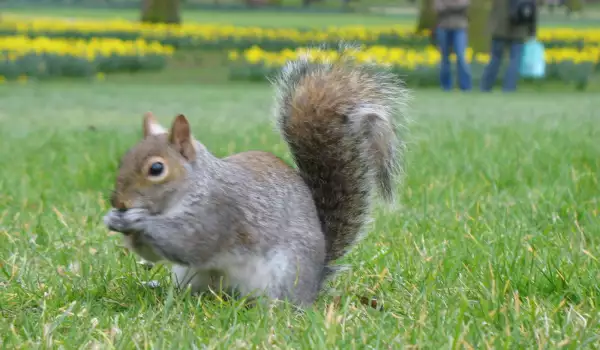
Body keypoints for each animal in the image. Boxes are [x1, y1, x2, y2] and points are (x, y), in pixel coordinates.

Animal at [104, 47, 408, 308]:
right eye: (123, 159)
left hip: (283, 274)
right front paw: (113, 219)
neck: (195, 186)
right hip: (189, 275)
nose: (119, 202)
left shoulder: (218, 213)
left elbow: (188, 242)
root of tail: (314, 283)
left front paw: (136, 221)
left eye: (156, 169)